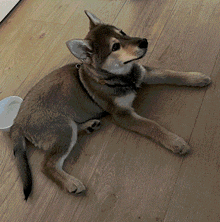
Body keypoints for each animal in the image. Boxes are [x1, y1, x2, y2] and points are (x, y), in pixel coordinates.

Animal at [9, 10, 211, 200]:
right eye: (115, 46)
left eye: (123, 32)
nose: (144, 41)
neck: (120, 77)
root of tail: (16, 122)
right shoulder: (122, 115)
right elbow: (151, 125)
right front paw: (174, 142)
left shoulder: (143, 73)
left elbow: (171, 73)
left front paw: (197, 78)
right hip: (62, 130)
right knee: (47, 165)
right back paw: (70, 183)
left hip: (66, 127)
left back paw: (89, 125)